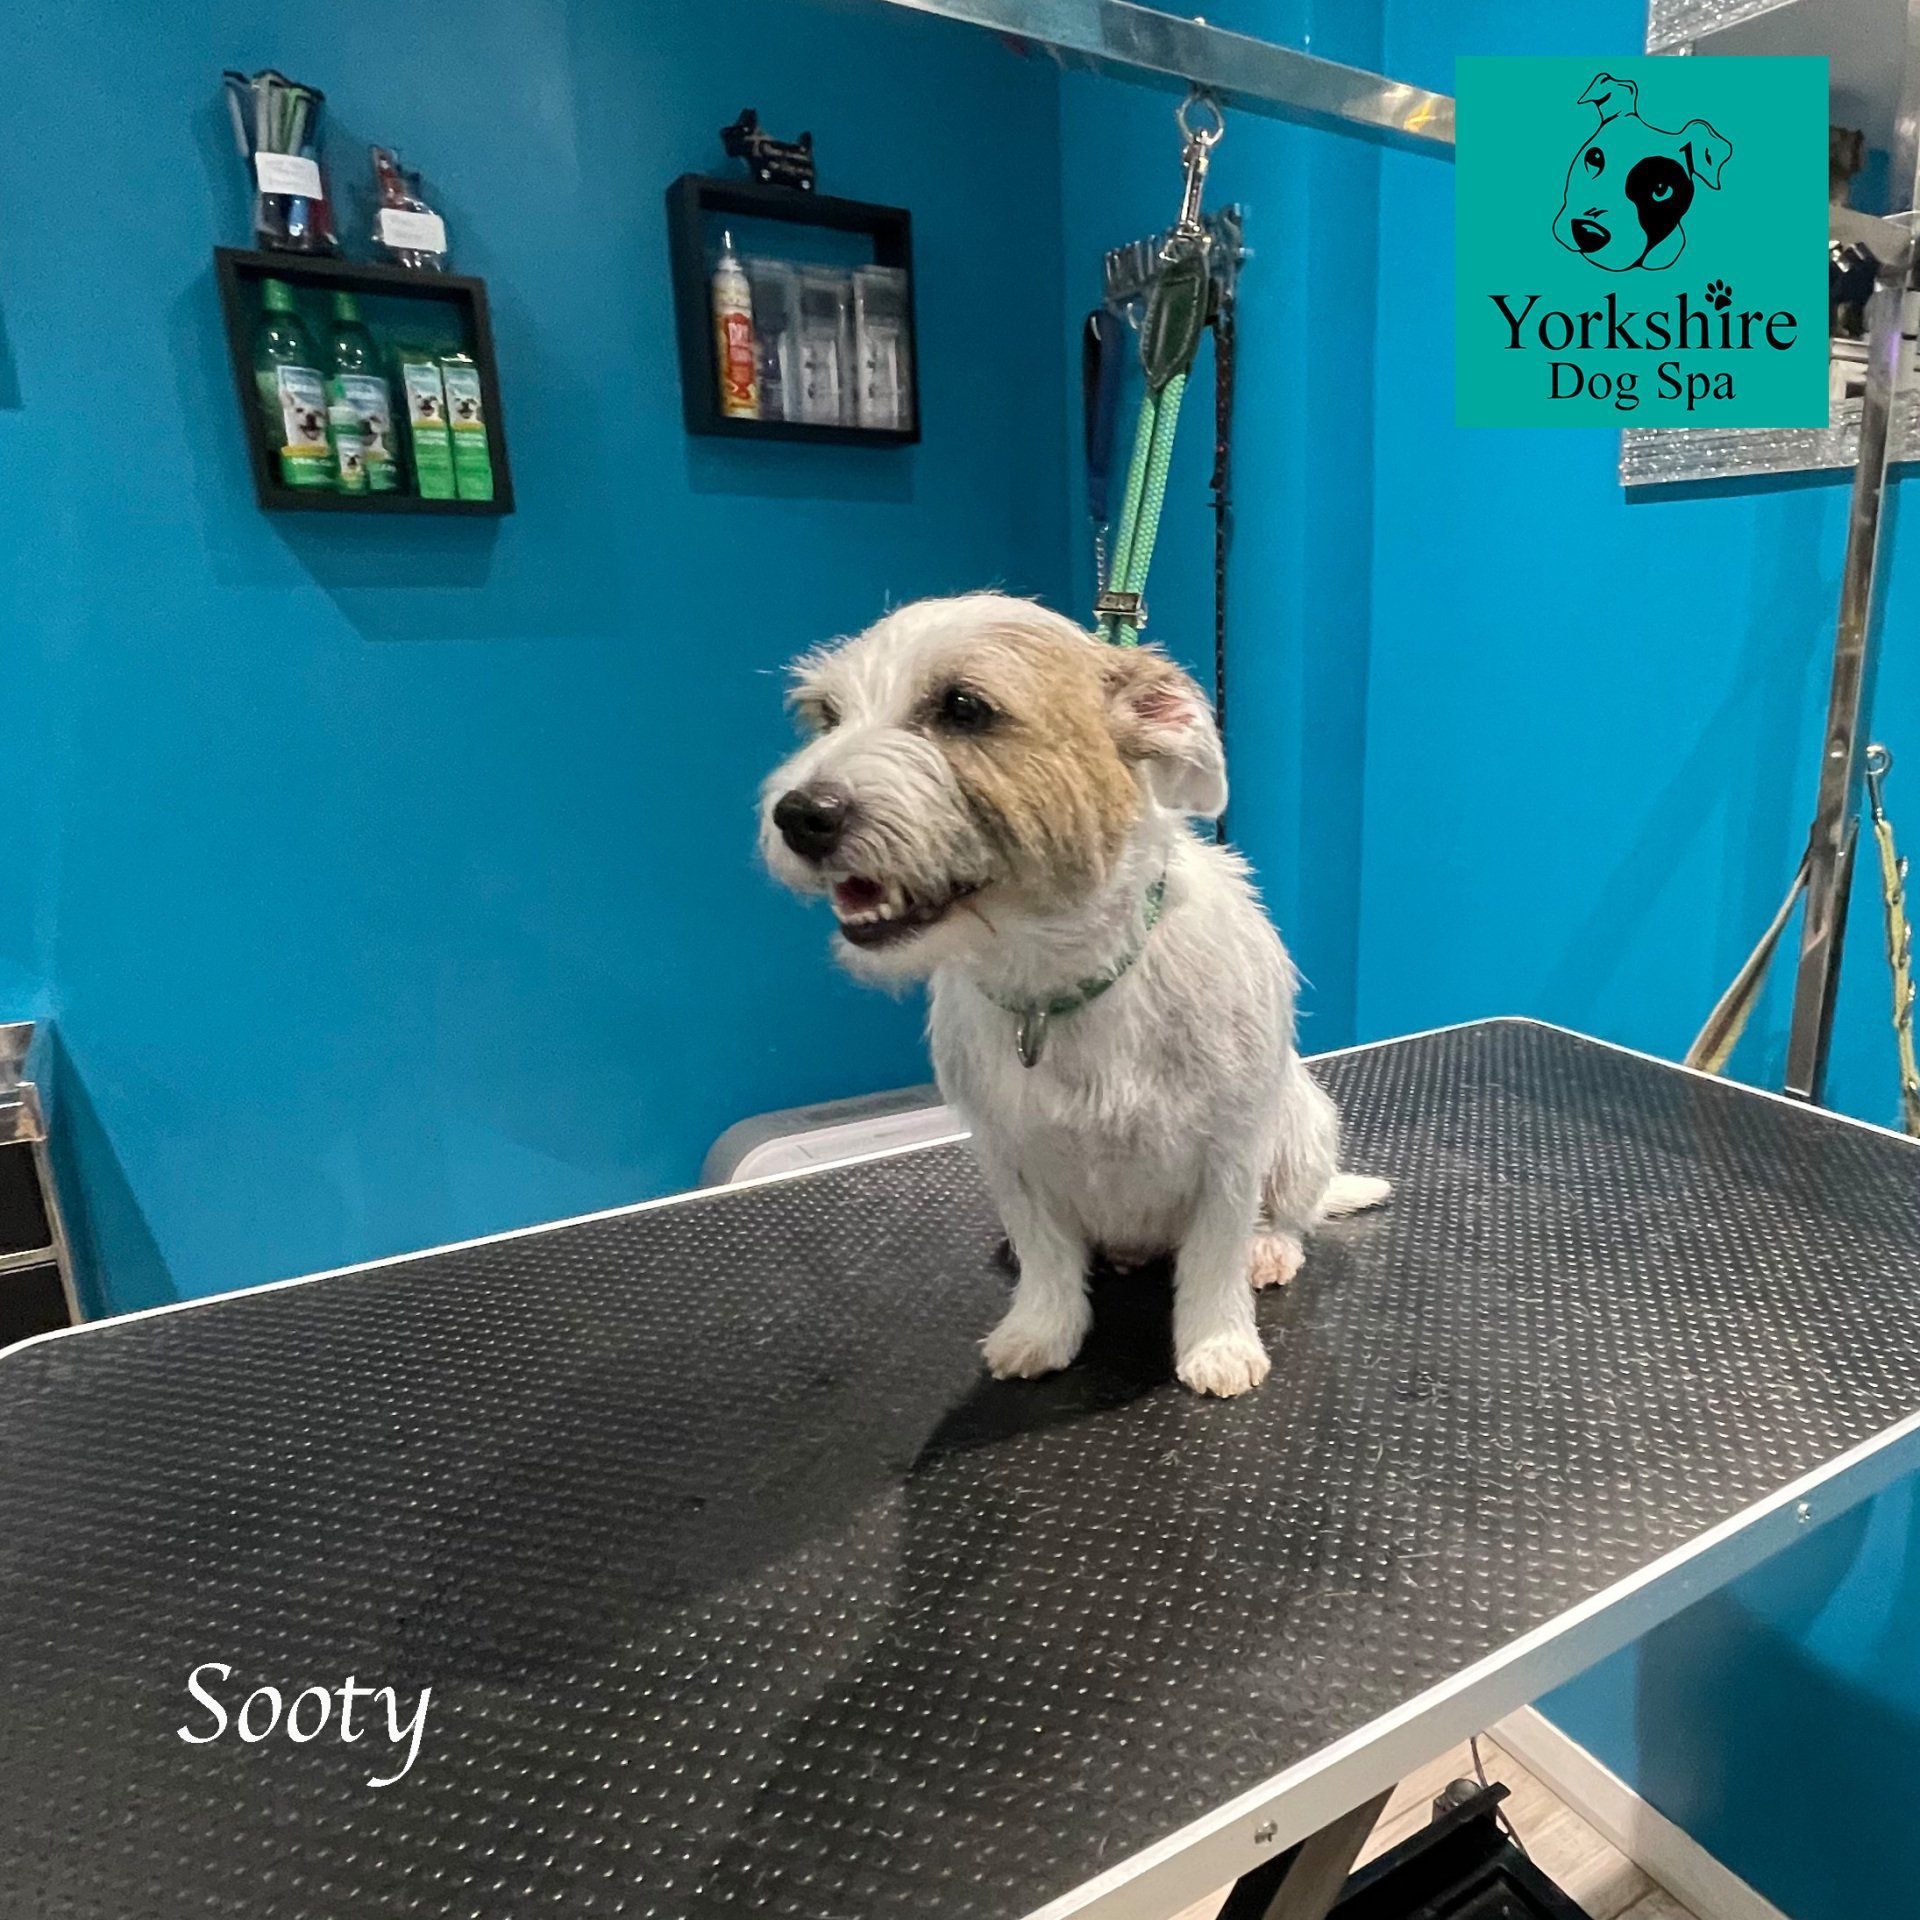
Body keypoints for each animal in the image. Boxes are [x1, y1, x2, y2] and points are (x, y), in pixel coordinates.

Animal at [759, 594, 1389, 1397]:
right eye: (826, 715)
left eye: (963, 708)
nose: (799, 815)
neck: (1055, 982)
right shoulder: (1011, 1156)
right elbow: (1047, 1260)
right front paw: (1039, 1330)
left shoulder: (1228, 1153)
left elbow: (1214, 1255)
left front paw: (1217, 1344)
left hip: (1302, 1126)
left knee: (1288, 1214)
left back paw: (1271, 1247)